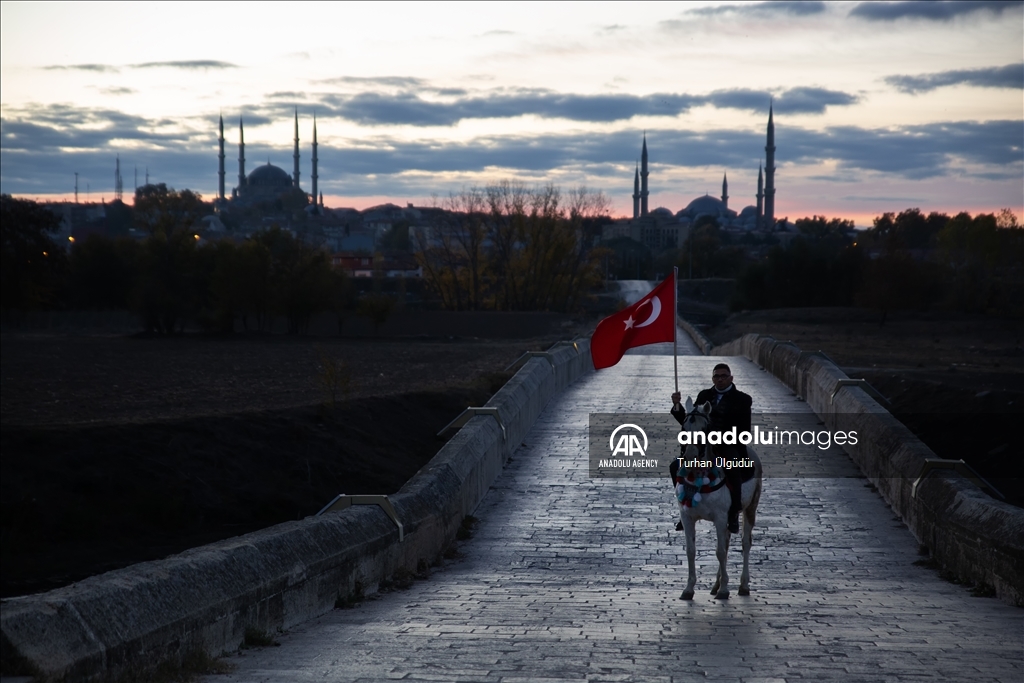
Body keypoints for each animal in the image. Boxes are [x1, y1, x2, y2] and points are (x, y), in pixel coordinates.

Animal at [671, 397, 761, 602]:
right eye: (684, 428)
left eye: (705, 429)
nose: (690, 455)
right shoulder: (687, 517)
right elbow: (691, 551)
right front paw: (689, 588)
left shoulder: (720, 517)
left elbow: (720, 552)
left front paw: (725, 590)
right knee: (727, 543)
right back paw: (717, 584)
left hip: (750, 506)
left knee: (745, 543)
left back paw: (743, 585)